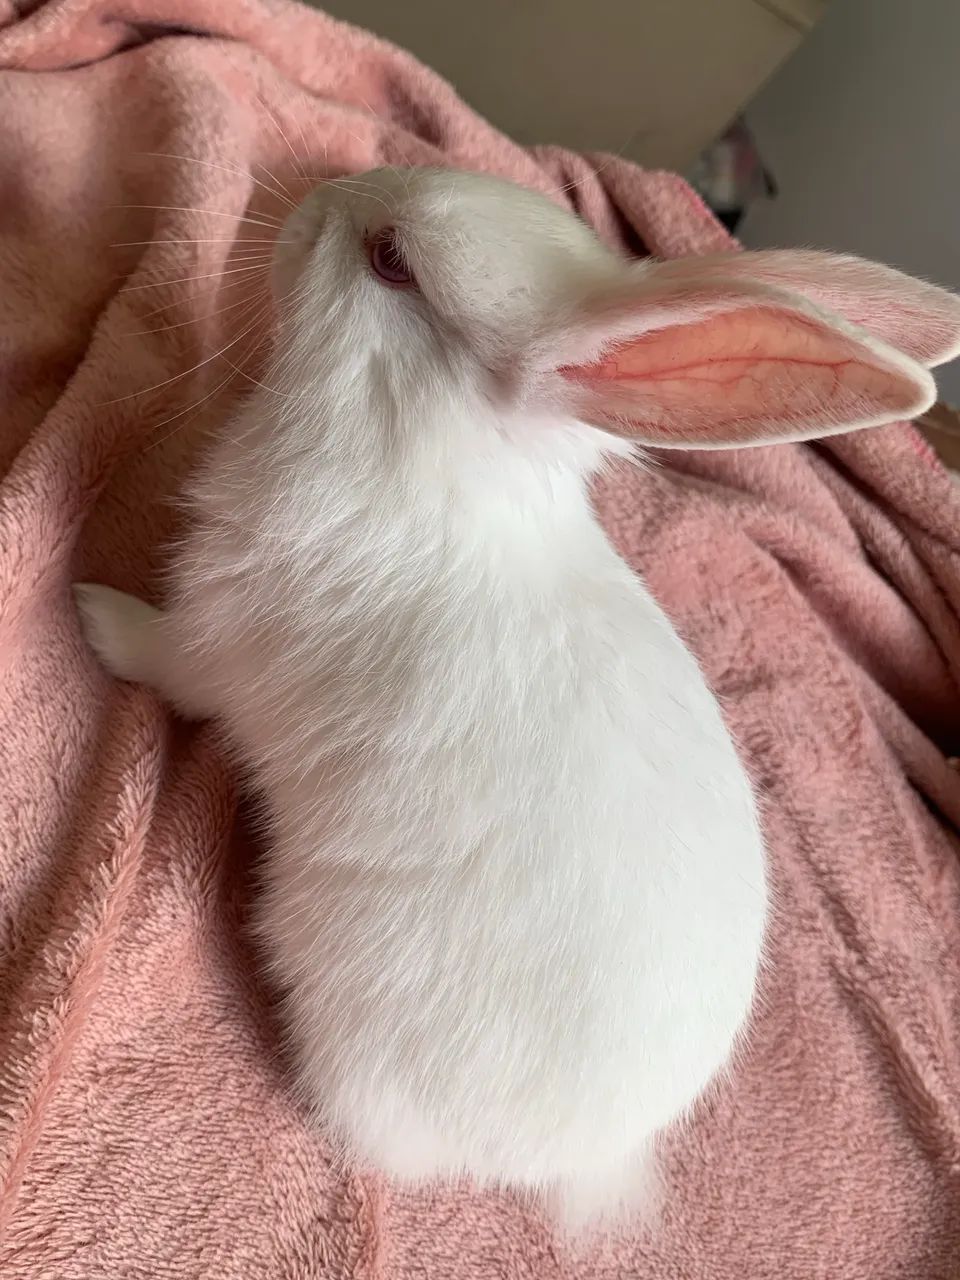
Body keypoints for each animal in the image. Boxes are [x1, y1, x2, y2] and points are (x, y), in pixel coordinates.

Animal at [75, 167, 960, 1228]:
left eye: (391, 259)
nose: (320, 191)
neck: (412, 453)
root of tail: (583, 1160)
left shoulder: (213, 642)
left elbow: (162, 657)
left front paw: (89, 610)